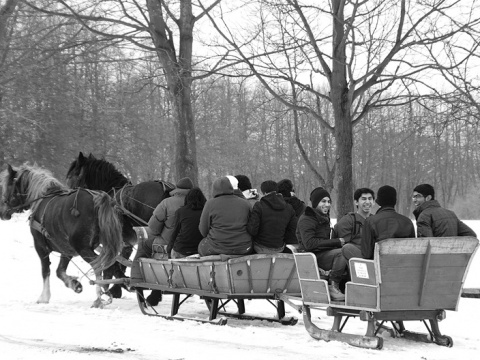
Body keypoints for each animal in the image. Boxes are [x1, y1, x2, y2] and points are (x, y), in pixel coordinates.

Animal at [0, 165, 124, 308]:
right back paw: (105, 292)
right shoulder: (66, 249)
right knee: (108, 266)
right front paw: (75, 284)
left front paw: (44, 297)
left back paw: (99, 298)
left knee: (97, 265)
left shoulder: (40, 246)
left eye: (8, 185)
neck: (41, 198)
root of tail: (98, 200)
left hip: (82, 248)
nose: (2, 213)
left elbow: (45, 270)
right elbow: (59, 271)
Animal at [65, 153, 172, 296]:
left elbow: (114, 263)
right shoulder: (127, 241)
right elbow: (122, 261)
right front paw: (120, 285)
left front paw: (113, 286)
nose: (68, 196)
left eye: (71, 176)